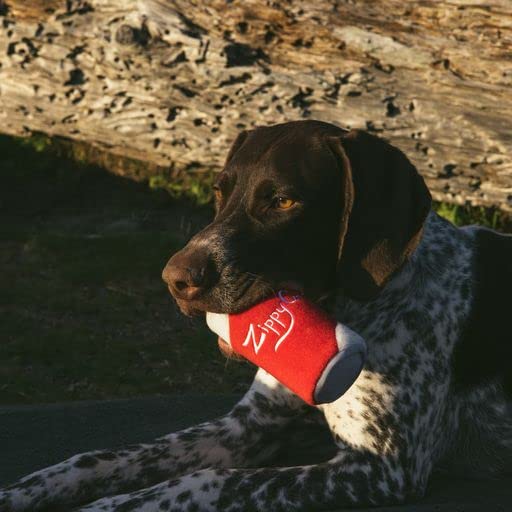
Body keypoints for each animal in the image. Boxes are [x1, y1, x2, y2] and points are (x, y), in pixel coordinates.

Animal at [1, 121, 512, 512]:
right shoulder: (247, 427)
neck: (347, 307)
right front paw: (22, 490)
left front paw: (108, 507)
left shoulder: (380, 467)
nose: (175, 279)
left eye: (283, 201)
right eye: (219, 191)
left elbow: (206, 480)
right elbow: (99, 458)